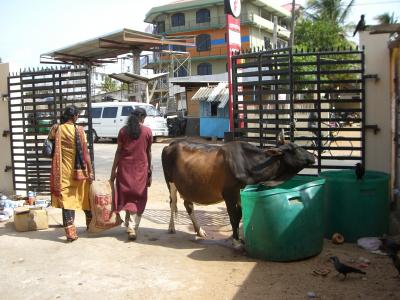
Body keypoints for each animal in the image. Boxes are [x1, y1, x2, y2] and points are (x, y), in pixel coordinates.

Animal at [161, 138, 314, 246]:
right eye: (295, 148)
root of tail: (171, 144)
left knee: (188, 205)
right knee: (172, 202)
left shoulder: (240, 193)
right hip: (171, 182)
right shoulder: (229, 193)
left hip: (187, 186)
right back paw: (171, 227)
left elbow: (240, 214)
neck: (248, 163)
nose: (313, 156)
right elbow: (233, 216)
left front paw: (239, 237)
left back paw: (199, 230)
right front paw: (235, 240)